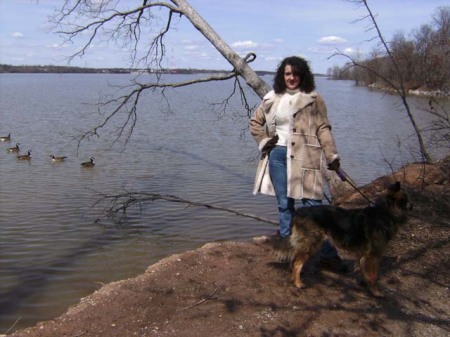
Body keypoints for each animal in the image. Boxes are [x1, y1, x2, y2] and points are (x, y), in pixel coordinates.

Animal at [274, 181, 412, 296]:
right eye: (405, 199)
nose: (412, 206)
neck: (384, 213)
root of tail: (298, 212)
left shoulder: (364, 255)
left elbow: (363, 271)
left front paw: (364, 284)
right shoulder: (373, 255)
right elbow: (373, 275)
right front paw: (376, 292)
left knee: (294, 260)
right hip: (311, 243)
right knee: (297, 263)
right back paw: (298, 283)